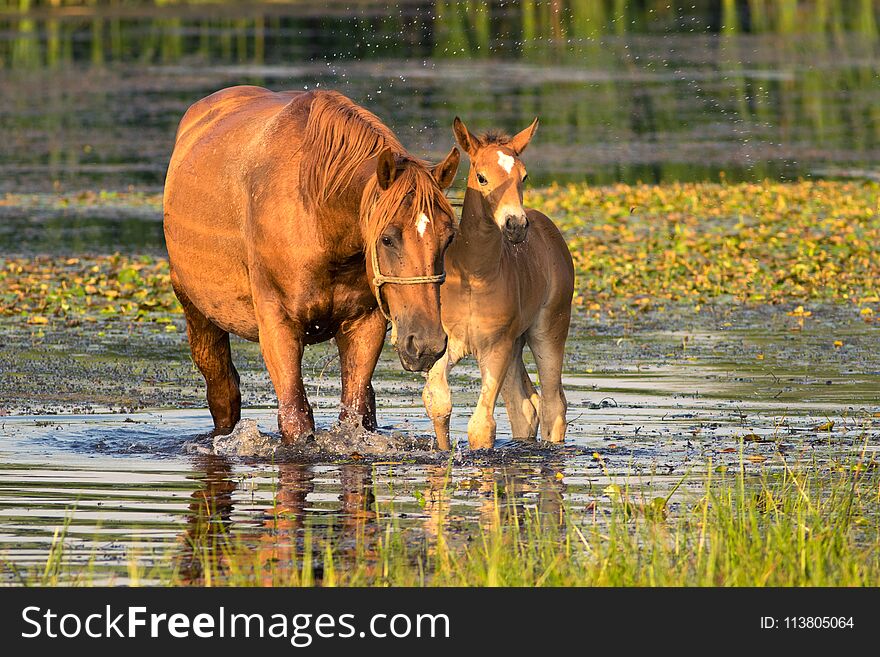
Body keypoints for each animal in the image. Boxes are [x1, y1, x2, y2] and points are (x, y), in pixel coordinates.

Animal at [162, 87, 460, 444]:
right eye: (387, 238)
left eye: (449, 237)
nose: (426, 344)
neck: (318, 216)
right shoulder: (278, 325)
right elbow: (296, 417)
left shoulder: (365, 323)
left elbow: (355, 412)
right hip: (198, 313)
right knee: (223, 394)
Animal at [422, 118, 576, 448]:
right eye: (481, 177)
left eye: (524, 176)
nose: (515, 225)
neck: (473, 274)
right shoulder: (447, 346)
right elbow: (438, 400)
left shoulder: (496, 347)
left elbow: (481, 426)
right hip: (517, 343)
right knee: (525, 405)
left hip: (548, 329)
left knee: (552, 403)